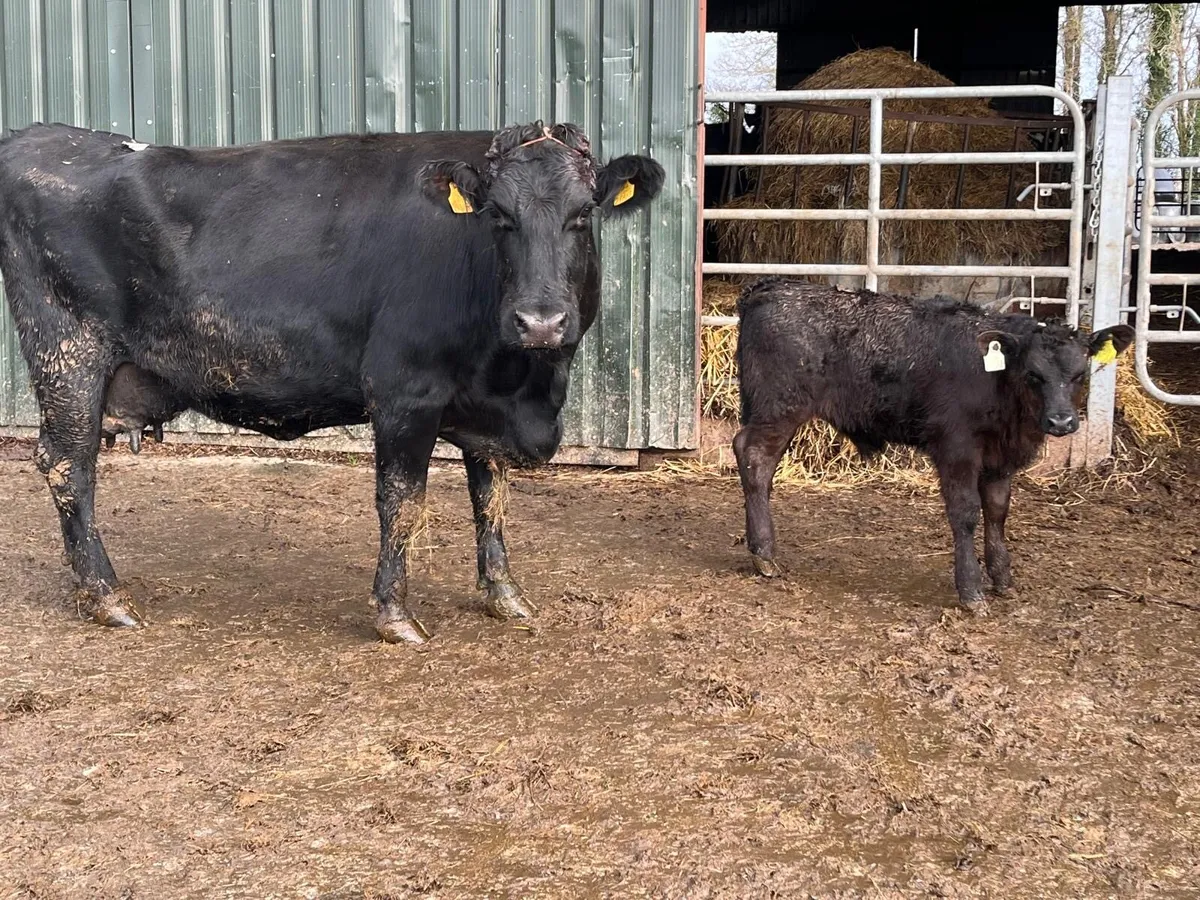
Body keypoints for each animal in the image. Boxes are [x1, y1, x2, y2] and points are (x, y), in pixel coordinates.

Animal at [0, 121, 664, 643]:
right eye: (498, 217)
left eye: (584, 214)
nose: (540, 321)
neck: (523, 385)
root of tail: (41, 135)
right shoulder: (404, 391)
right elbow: (402, 501)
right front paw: (395, 615)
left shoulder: (484, 408)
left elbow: (490, 498)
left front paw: (506, 596)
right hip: (68, 354)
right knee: (68, 464)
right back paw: (107, 598)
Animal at [732, 278, 1134, 611]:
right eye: (1033, 374)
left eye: (1080, 374)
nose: (1062, 421)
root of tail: (770, 287)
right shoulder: (957, 448)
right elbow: (966, 512)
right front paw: (971, 590)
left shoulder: (999, 457)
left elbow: (997, 511)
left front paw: (1002, 576)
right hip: (780, 407)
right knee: (753, 456)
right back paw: (764, 554)